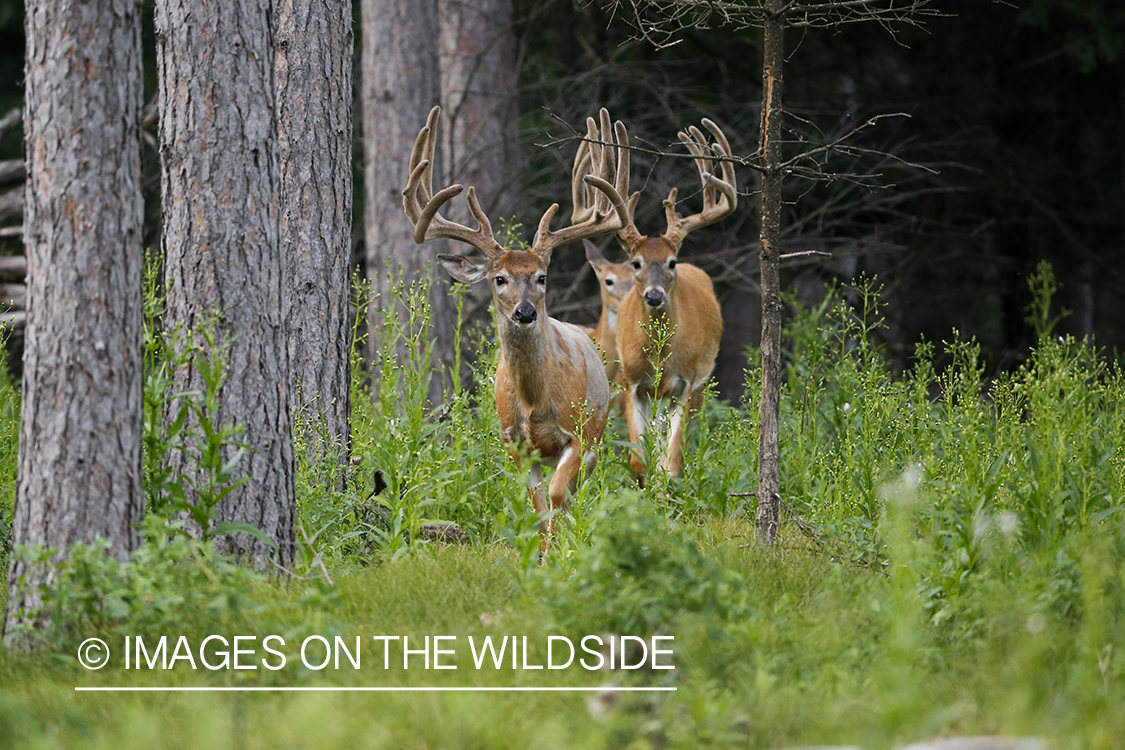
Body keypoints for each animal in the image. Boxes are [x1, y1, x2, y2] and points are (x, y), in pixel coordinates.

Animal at [402, 108, 634, 557]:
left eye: (542, 276)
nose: (525, 313)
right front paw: (543, 555)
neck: (534, 401)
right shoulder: (514, 442)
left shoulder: (578, 434)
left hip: (598, 429)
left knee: (579, 490)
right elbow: (537, 504)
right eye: (499, 278)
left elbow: (559, 494)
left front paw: (560, 553)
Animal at [607, 116, 738, 490]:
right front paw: (644, 491)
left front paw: (666, 495)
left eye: (672, 262)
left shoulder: (685, 381)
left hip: (701, 381)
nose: (654, 296)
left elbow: (673, 461)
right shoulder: (631, 382)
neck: (659, 354)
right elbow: (638, 460)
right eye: (635, 262)